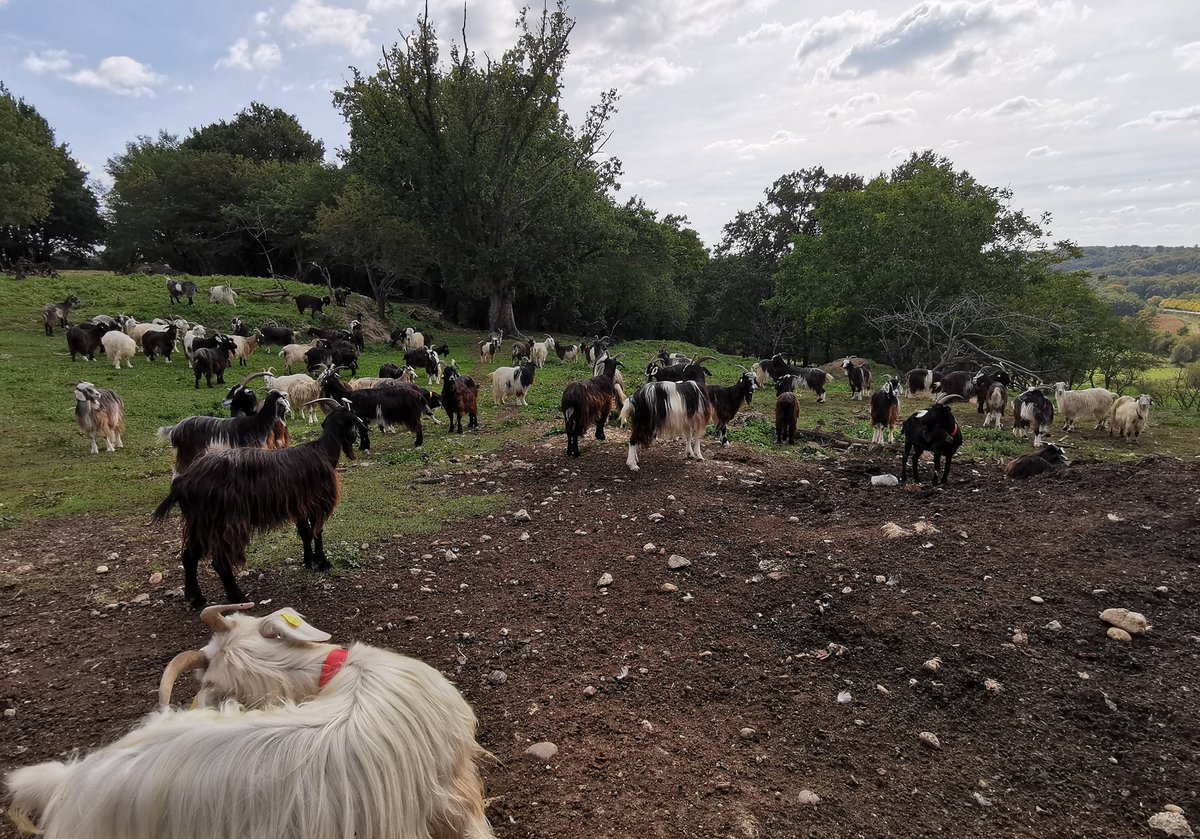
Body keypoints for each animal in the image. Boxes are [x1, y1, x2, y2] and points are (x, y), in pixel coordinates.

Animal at [152, 406, 362, 606]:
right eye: (352, 423)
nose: (355, 437)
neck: (324, 451)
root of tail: (182, 482)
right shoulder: (317, 503)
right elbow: (317, 533)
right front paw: (323, 562)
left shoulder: (299, 506)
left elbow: (305, 533)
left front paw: (309, 561)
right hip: (224, 522)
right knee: (219, 561)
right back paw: (237, 596)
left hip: (200, 523)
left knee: (189, 556)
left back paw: (194, 598)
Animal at [158, 389, 291, 476]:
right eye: (281, 400)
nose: (289, 411)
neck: (257, 422)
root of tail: (174, 429)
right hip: (187, 453)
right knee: (177, 472)